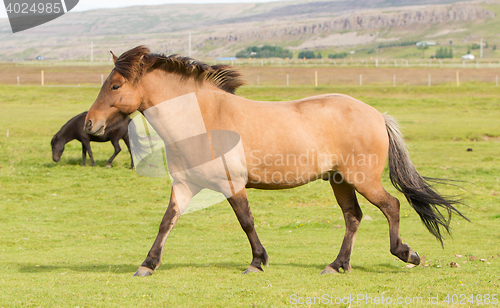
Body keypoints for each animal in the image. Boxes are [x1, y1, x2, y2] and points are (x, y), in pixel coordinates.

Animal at [84, 45, 466, 276]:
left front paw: (257, 262)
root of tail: (376, 114)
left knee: (391, 206)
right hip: (340, 182)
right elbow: (167, 222)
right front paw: (147, 264)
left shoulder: (231, 184)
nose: (89, 124)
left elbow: (246, 221)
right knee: (354, 217)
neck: (203, 118)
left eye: (115, 86)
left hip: (363, 179)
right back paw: (336, 265)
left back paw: (405, 253)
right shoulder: (184, 185)